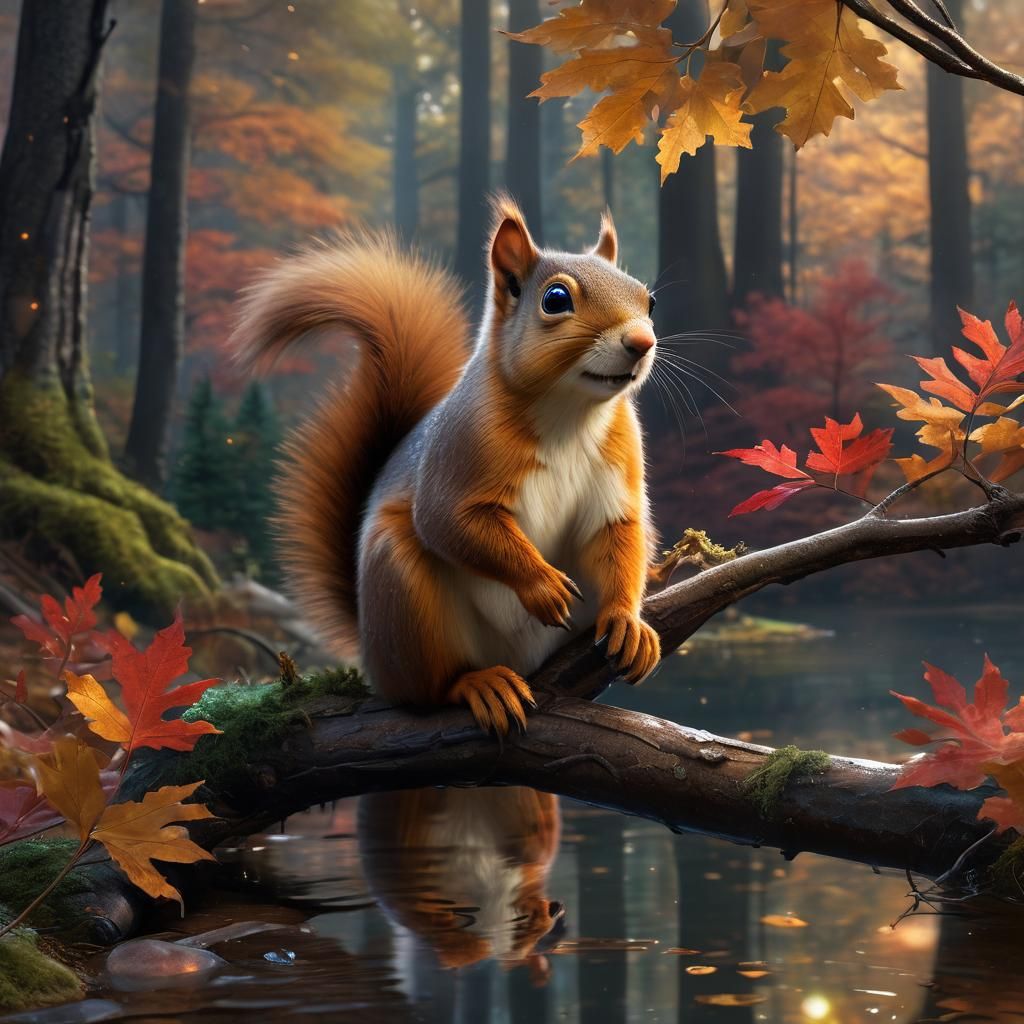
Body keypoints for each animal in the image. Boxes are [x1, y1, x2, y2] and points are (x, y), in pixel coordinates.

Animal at [234, 194, 661, 734]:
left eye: (649, 301)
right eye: (556, 299)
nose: (642, 342)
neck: (569, 412)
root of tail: (372, 652)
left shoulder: (619, 465)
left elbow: (620, 534)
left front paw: (628, 620)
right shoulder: (458, 454)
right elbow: (452, 523)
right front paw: (541, 585)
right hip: (405, 596)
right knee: (428, 687)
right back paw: (480, 684)